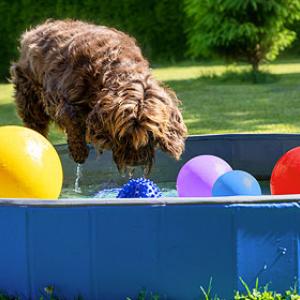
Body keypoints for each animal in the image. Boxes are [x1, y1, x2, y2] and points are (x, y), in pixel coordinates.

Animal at [10, 19, 188, 175]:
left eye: (149, 135)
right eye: (123, 136)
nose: (136, 162)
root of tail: (35, 30)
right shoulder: (65, 99)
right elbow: (73, 120)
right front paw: (79, 152)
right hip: (29, 96)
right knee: (35, 123)